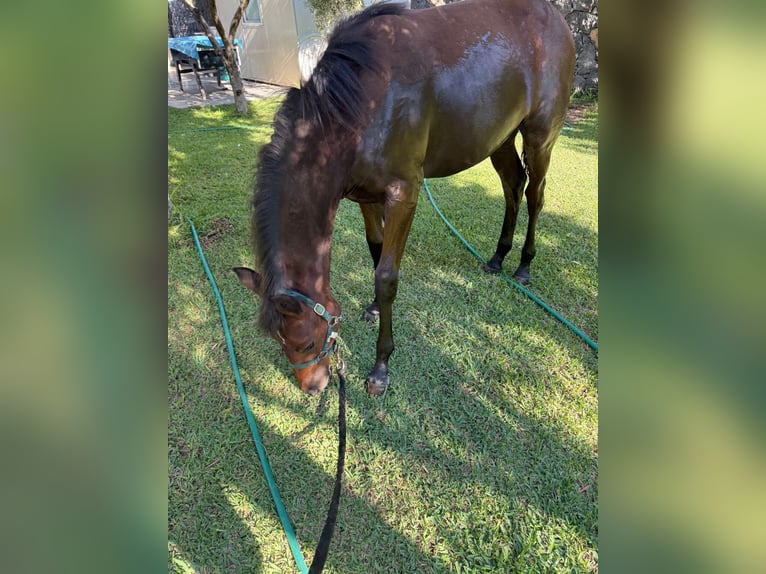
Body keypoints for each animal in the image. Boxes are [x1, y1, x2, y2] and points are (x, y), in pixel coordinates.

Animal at [234, 0, 575, 396]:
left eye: (305, 343)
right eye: (279, 342)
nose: (314, 388)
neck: (361, 102)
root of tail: (556, 18)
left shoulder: (404, 195)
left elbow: (386, 277)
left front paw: (381, 366)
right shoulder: (363, 194)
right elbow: (375, 249)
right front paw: (373, 310)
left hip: (540, 137)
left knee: (535, 194)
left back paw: (523, 265)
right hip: (500, 138)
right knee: (512, 186)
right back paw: (498, 256)